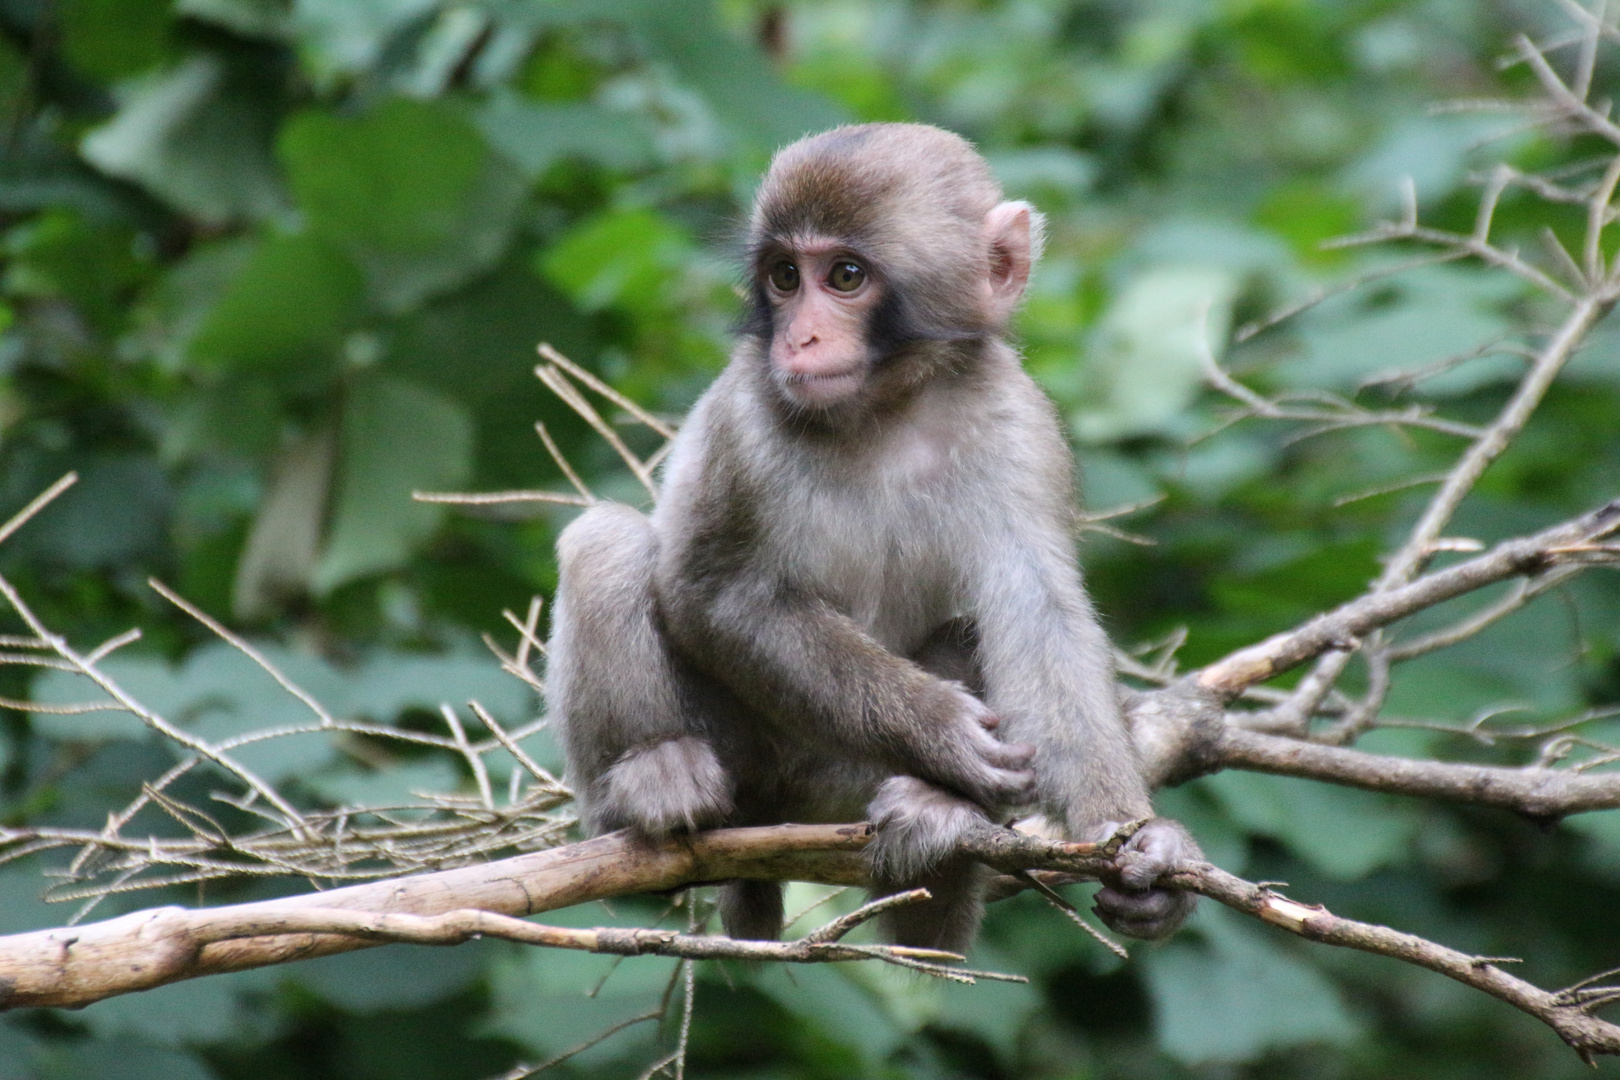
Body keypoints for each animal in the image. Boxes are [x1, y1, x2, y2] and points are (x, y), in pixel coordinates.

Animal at [550, 122, 1198, 952]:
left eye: (846, 276)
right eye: (785, 277)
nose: (799, 338)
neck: (887, 406)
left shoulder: (1020, 425)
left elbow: (1039, 615)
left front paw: (1138, 840)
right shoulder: (744, 419)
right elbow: (714, 594)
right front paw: (941, 730)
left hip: (838, 789)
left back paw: (937, 820)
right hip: (747, 762)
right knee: (605, 539)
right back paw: (648, 779)